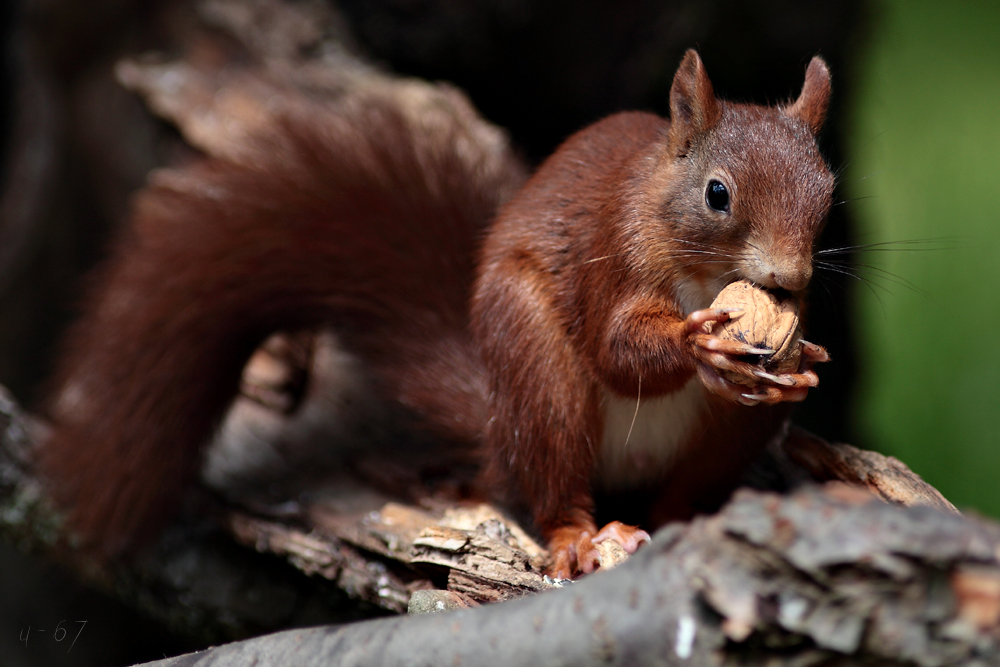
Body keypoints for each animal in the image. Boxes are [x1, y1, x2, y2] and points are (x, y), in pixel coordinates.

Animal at [39, 49, 832, 580]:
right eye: (717, 194)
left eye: (827, 192)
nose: (792, 279)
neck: (703, 271)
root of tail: (496, 428)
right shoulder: (615, 255)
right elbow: (617, 348)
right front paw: (703, 347)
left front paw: (804, 360)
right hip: (534, 367)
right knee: (549, 481)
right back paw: (579, 536)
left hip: (722, 440)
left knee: (683, 490)